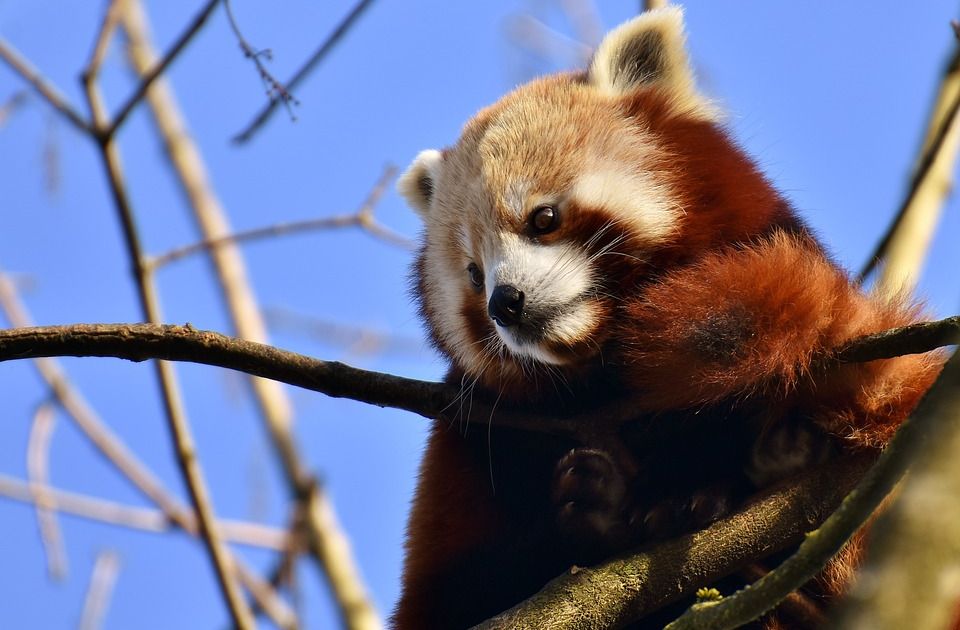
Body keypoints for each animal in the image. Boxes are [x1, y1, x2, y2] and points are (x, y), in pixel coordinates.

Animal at [392, 6, 944, 630]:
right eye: (473, 273)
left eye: (544, 218)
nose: (504, 303)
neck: (605, 371)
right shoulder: (476, 435)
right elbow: (455, 592)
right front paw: (595, 510)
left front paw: (686, 491)